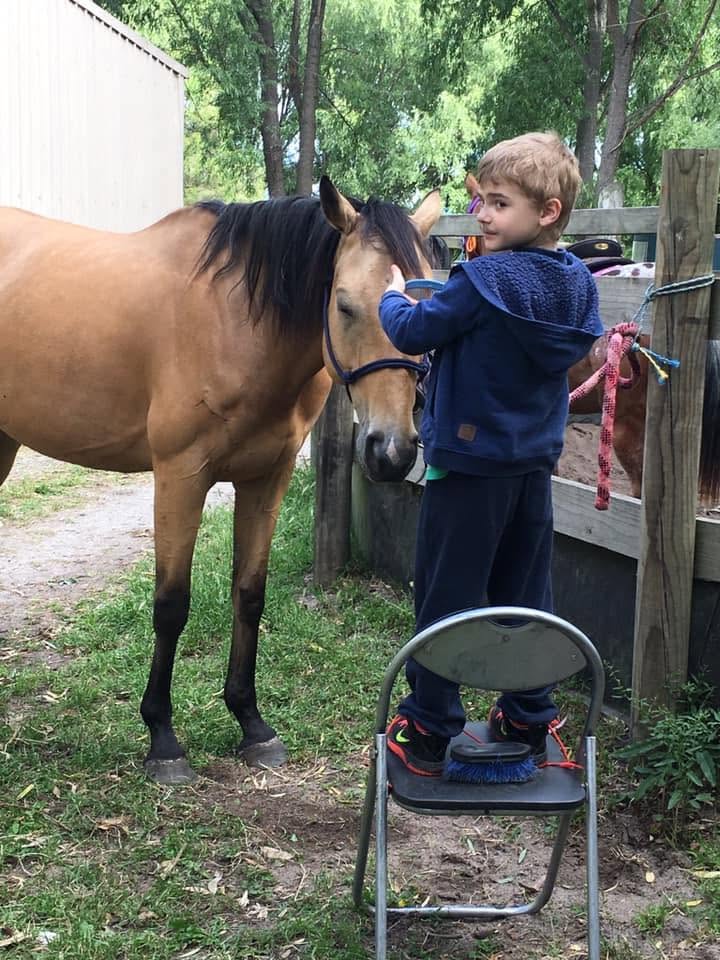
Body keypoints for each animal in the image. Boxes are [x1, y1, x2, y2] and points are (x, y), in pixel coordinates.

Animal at [0, 176, 442, 784]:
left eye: (430, 305)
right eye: (345, 304)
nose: (391, 451)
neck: (238, 320)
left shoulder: (267, 479)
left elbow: (249, 594)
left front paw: (250, 722)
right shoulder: (180, 476)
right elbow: (171, 604)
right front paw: (162, 738)